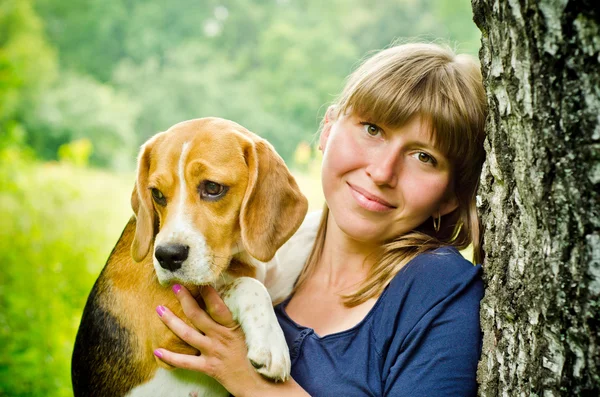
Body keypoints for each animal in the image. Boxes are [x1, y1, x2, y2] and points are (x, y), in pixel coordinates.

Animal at [71, 117, 314, 396]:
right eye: (156, 194)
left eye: (212, 187)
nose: (166, 256)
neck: (233, 257)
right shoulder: (167, 327)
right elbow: (246, 285)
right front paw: (271, 342)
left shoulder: (274, 280)